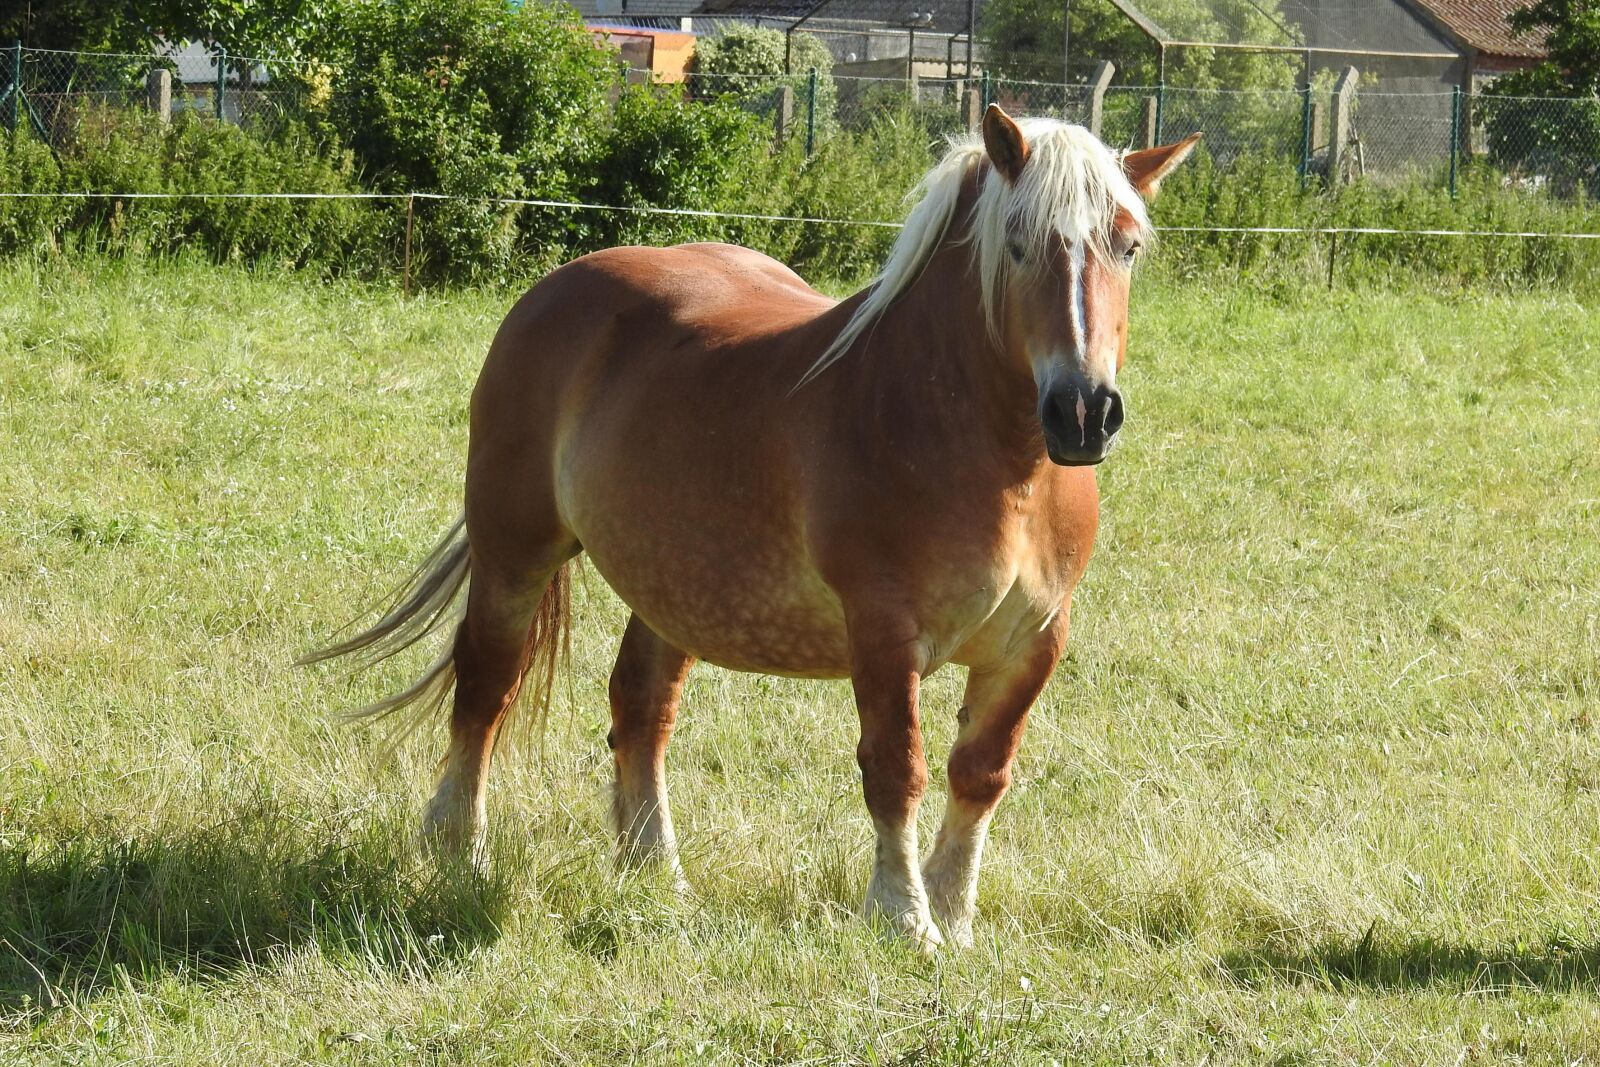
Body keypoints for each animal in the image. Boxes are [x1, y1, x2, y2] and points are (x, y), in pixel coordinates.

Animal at [306, 105, 1198, 950]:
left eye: (1127, 247)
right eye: (1016, 246)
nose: (1084, 411)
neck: (989, 452)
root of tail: (556, 287)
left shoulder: (1034, 640)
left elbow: (980, 774)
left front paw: (956, 916)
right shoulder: (884, 634)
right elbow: (896, 770)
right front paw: (904, 918)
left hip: (675, 583)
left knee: (641, 708)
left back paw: (655, 873)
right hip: (514, 550)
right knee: (486, 686)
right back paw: (459, 848)